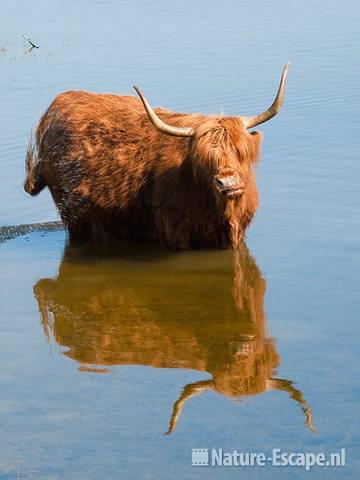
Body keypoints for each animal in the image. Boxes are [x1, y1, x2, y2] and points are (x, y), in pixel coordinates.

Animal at [24, 64, 290, 249]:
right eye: (204, 159)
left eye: (240, 151)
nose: (227, 181)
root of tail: (53, 109)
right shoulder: (177, 233)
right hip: (75, 216)